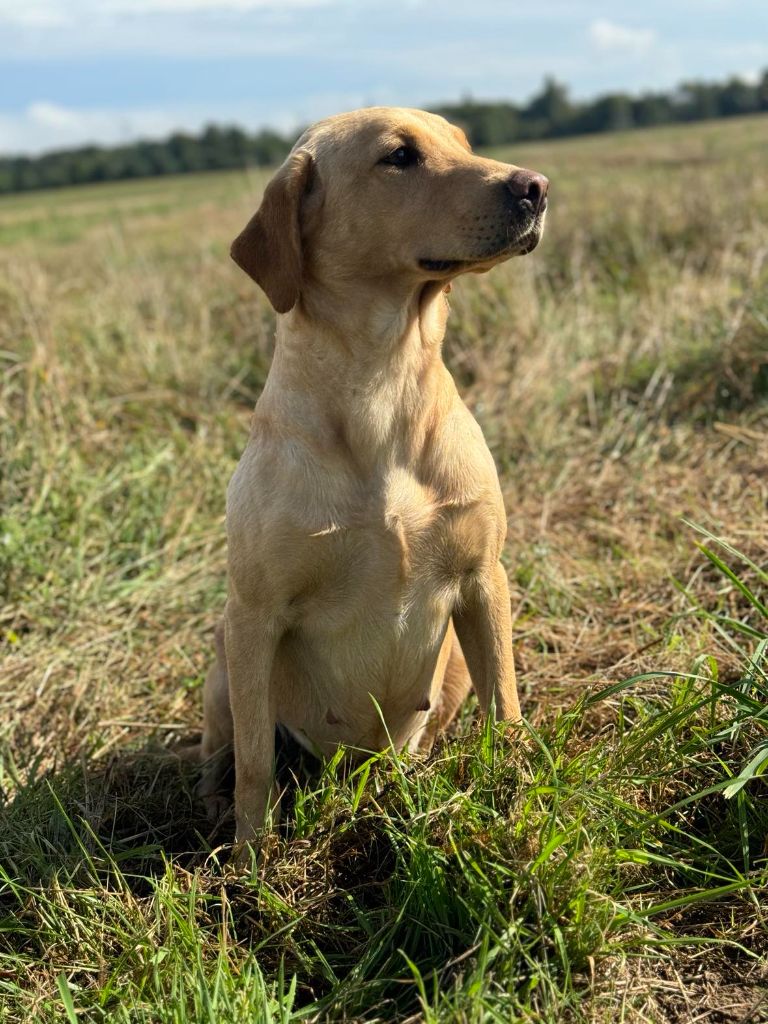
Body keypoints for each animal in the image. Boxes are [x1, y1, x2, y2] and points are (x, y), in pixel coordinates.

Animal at [198, 108, 548, 856]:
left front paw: (522, 807)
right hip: (222, 659)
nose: (535, 186)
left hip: (449, 665)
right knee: (225, 750)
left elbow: (507, 711)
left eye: (464, 143)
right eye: (399, 156)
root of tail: (356, 764)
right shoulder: (254, 614)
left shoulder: (484, 578)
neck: (383, 380)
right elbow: (254, 762)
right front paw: (250, 861)